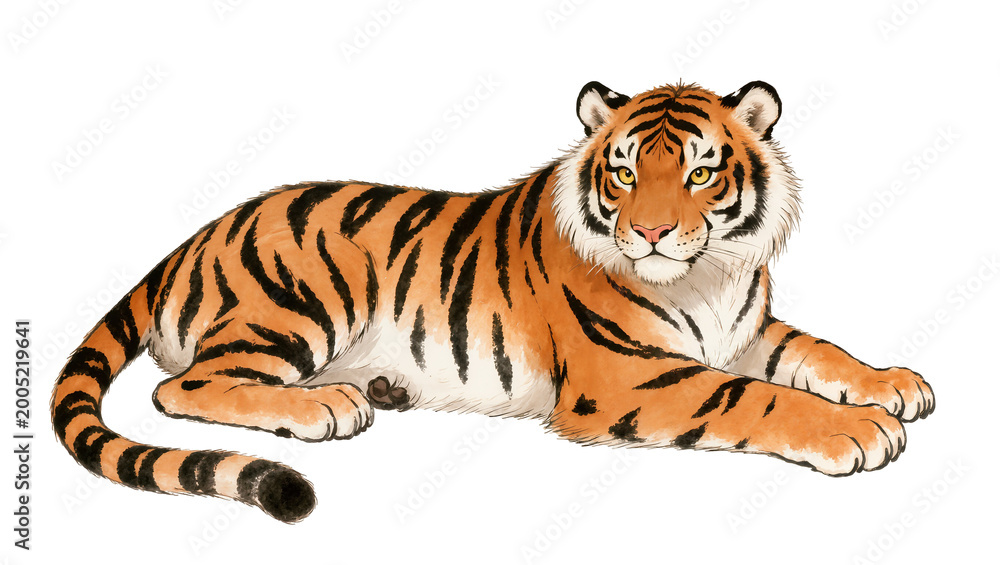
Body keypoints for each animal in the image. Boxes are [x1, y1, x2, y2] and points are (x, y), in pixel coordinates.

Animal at [52, 79, 935, 524]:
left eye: (699, 172)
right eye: (624, 172)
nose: (649, 232)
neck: (704, 274)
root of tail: (191, 239)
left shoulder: (743, 329)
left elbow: (815, 350)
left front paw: (895, 384)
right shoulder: (627, 374)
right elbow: (756, 398)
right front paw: (859, 429)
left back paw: (373, 387)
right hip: (305, 290)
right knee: (184, 385)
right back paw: (327, 406)